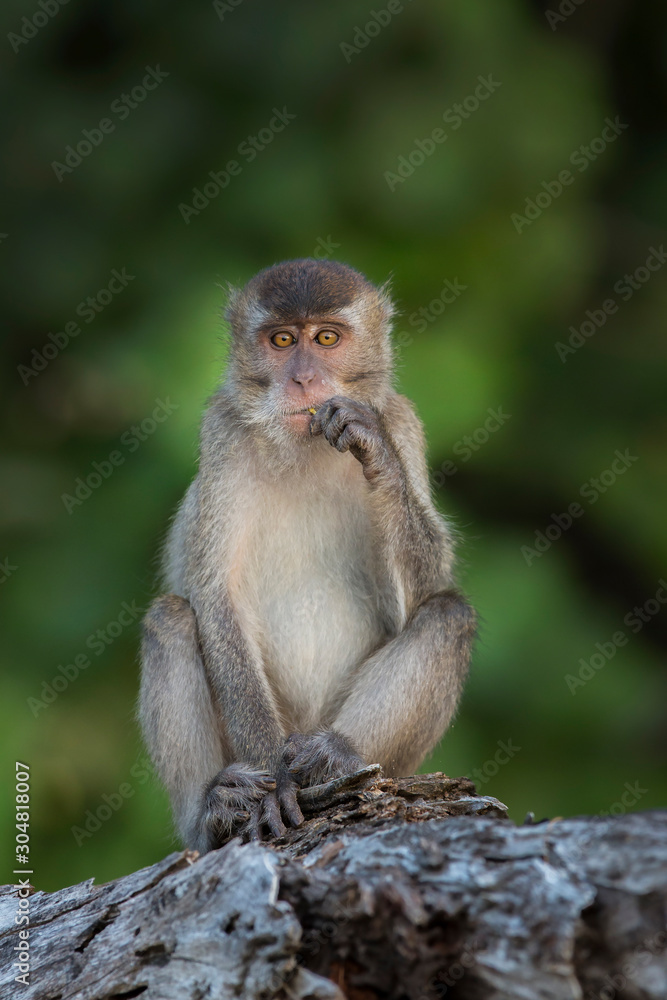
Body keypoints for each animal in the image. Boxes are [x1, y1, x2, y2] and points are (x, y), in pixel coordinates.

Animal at [140, 258, 474, 852]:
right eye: (281, 340)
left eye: (326, 339)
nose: (303, 379)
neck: (304, 449)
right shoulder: (220, 432)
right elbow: (217, 600)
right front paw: (275, 783)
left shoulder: (404, 421)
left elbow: (424, 592)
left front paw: (375, 451)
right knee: (171, 618)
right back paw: (212, 813)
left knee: (447, 614)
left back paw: (336, 755)